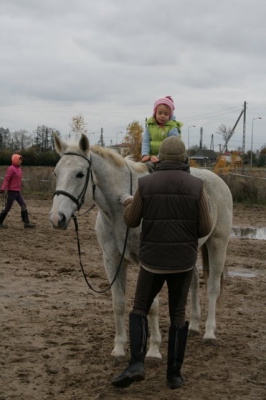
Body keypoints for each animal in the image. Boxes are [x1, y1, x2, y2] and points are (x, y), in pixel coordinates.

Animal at [50, 134, 233, 360]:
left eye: (80, 174)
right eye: (56, 172)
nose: (57, 218)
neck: (119, 211)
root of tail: (218, 180)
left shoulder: (149, 264)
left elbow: (152, 305)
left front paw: (153, 350)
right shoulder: (112, 261)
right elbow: (118, 304)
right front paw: (119, 348)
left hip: (218, 243)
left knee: (213, 287)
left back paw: (209, 332)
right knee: (194, 282)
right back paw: (193, 326)